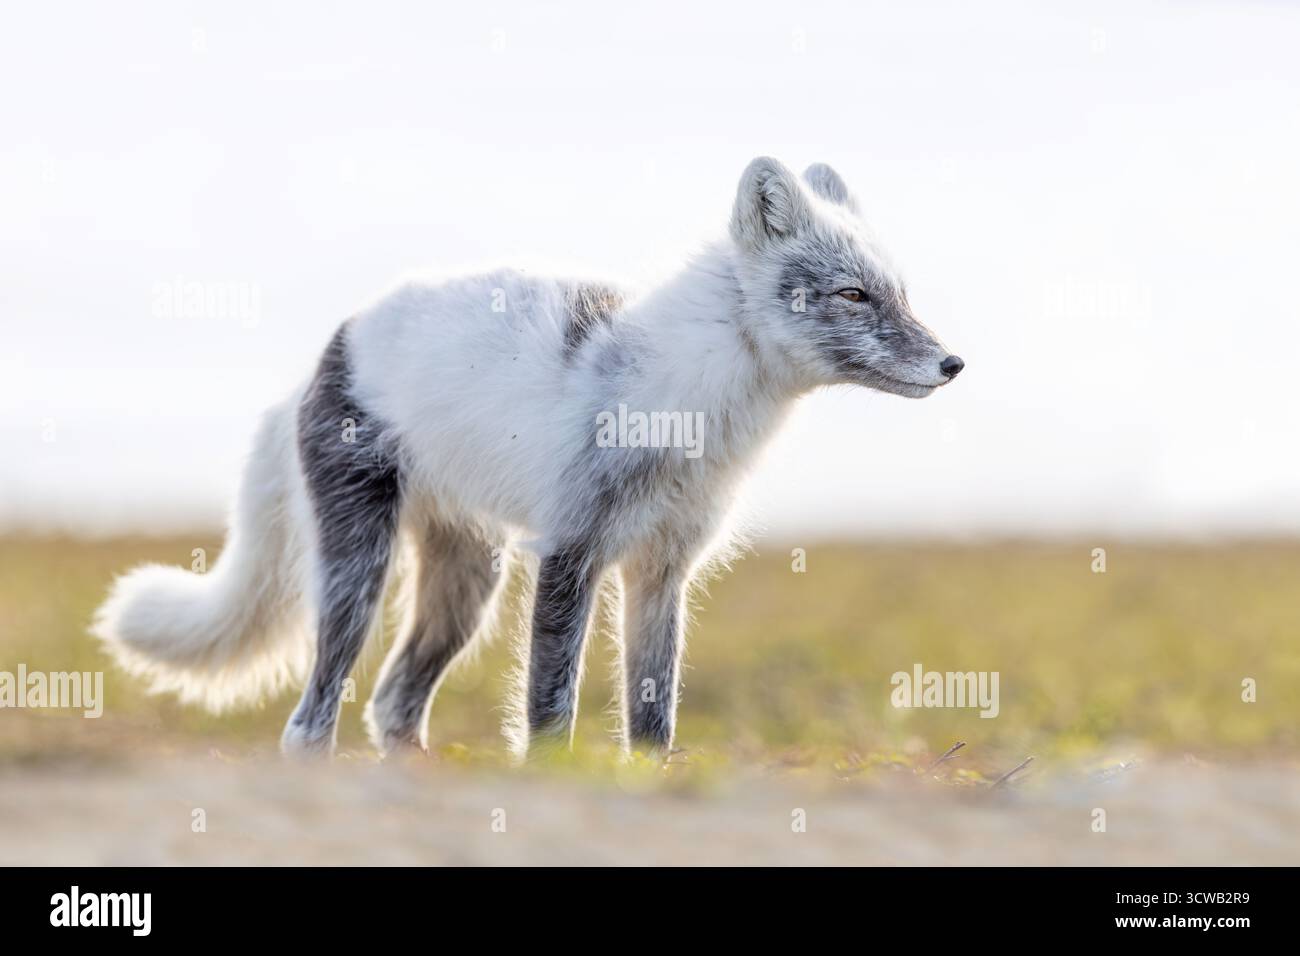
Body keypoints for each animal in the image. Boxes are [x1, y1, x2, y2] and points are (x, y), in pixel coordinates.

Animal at [93, 157, 964, 760]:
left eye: (901, 293)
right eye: (853, 295)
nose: (953, 363)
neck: (687, 402)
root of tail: (329, 351)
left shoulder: (662, 568)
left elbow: (653, 710)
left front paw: (652, 777)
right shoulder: (570, 552)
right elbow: (551, 702)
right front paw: (554, 774)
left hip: (468, 584)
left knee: (392, 704)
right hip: (362, 572)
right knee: (313, 719)